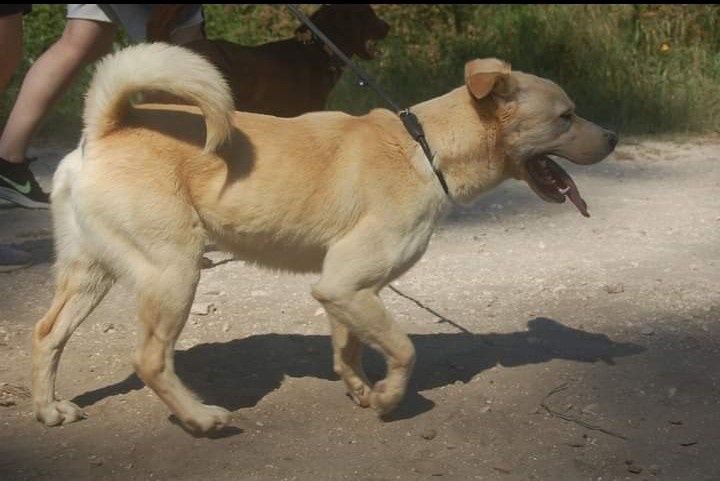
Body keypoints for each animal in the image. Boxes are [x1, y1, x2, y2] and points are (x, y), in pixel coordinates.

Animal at [31, 43, 616, 434]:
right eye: (566, 116)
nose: (613, 136)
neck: (425, 148)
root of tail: (107, 127)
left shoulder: (346, 290)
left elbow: (348, 349)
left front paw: (360, 390)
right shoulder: (345, 285)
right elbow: (404, 350)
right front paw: (389, 399)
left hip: (90, 274)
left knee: (47, 334)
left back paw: (47, 408)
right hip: (173, 271)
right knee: (150, 359)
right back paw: (200, 417)